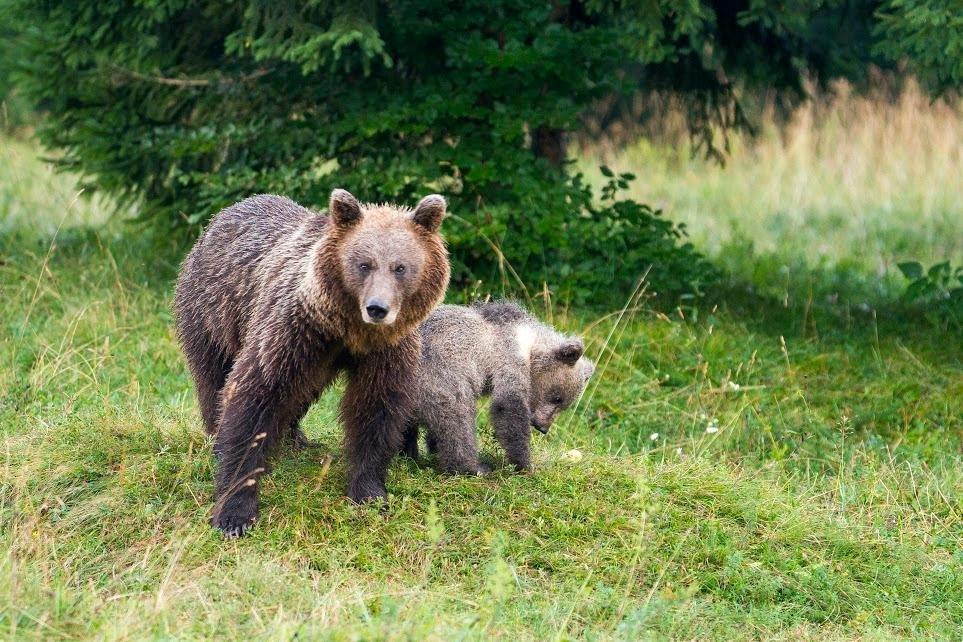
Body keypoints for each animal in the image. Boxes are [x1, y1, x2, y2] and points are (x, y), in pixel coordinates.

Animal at [174, 189, 449, 537]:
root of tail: (223, 215)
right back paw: (217, 435)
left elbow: (375, 409)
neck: (348, 332)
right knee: (214, 378)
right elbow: (253, 394)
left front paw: (369, 492)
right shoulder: (293, 330)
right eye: (364, 264)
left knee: (300, 393)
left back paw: (295, 439)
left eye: (400, 267)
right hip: (213, 311)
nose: (377, 308)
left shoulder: (386, 351)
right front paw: (235, 512)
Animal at [401, 300, 594, 474]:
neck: (531, 345)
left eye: (564, 405)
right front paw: (524, 464)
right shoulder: (508, 356)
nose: (543, 427)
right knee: (457, 419)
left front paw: (432, 446)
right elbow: (509, 406)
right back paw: (474, 467)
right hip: (435, 379)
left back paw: (409, 454)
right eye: (557, 398)